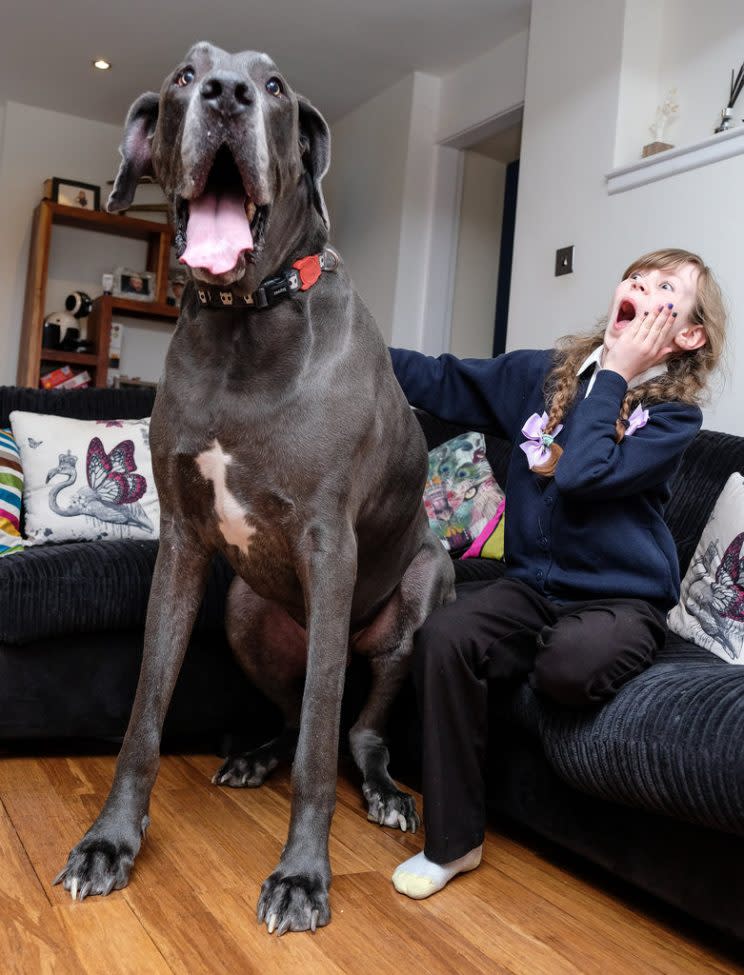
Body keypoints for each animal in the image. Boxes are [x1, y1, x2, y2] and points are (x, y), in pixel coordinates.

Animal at [53, 42, 454, 936]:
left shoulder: (329, 547)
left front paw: (303, 876)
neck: (245, 320)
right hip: (243, 611)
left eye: (274, 88)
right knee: (288, 711)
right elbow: (144, 715)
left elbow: (320, 747)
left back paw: (384, 790)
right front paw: (108, 843)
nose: (227, 94)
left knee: (354, 729)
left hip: (417, 596)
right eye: (181, 75)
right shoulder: (183, 542)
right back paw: (253, 756)